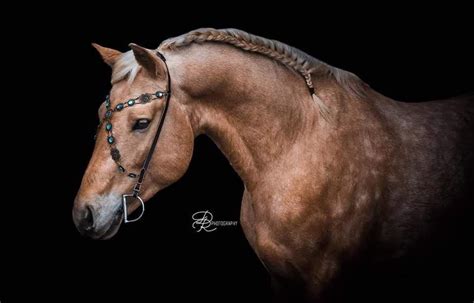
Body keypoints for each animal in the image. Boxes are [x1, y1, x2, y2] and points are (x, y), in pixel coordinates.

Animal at [72, 27, 472, 302]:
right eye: (100, 114)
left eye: (141, 123)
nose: (84, 214)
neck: (298, 147)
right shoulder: (280, 278)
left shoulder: (323, 280)